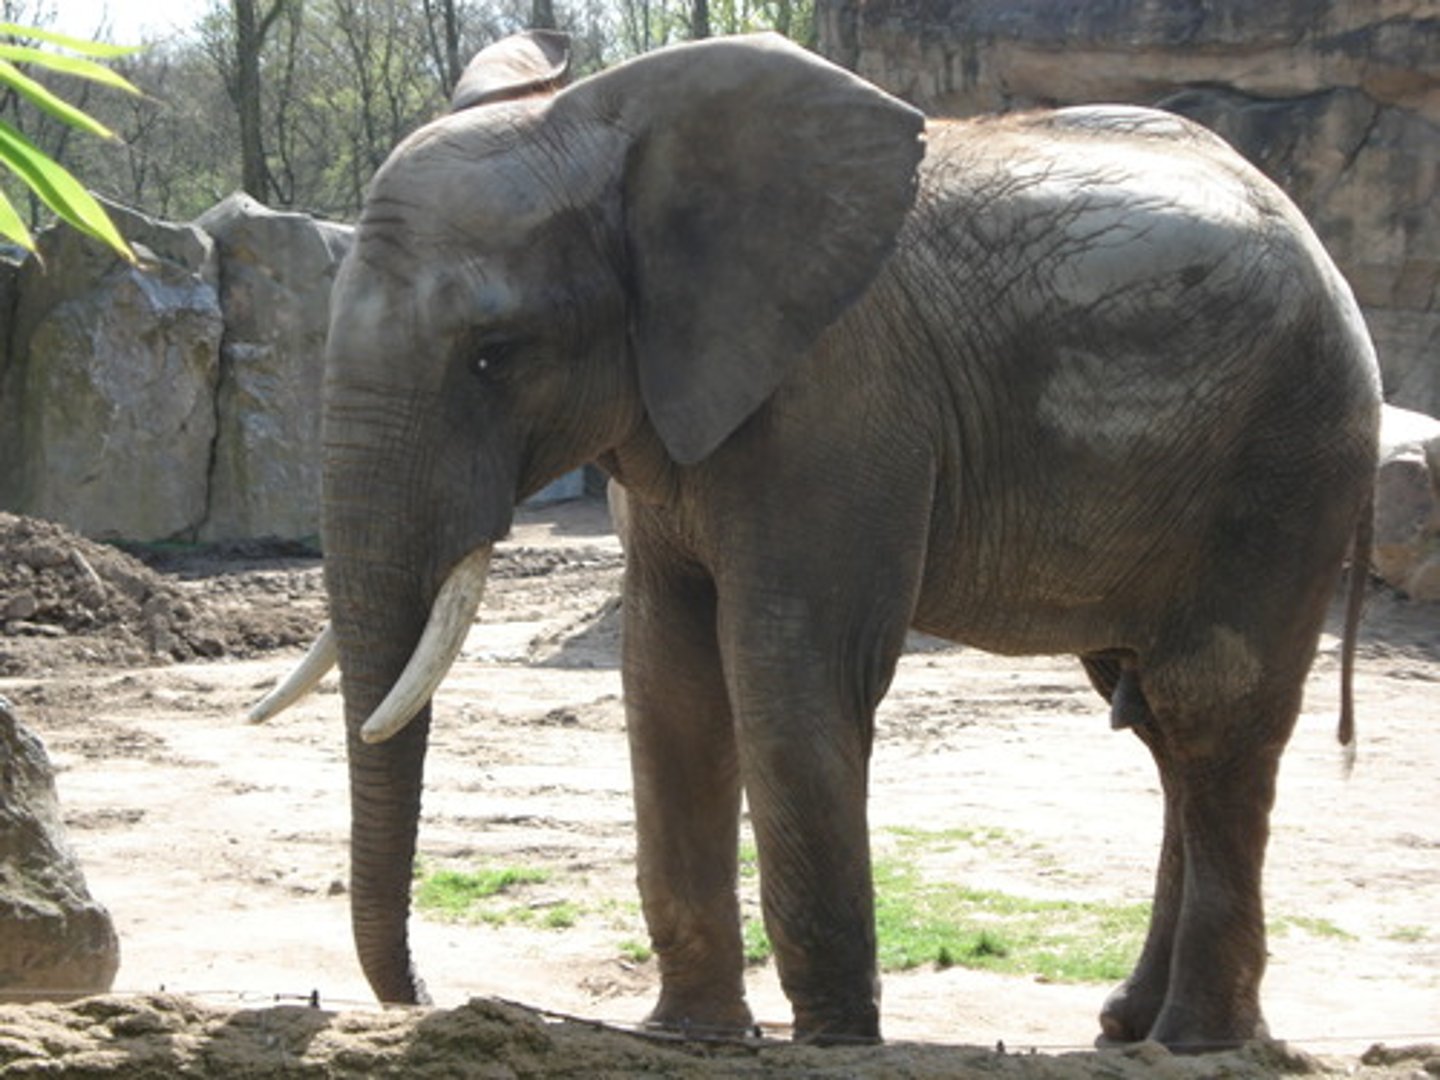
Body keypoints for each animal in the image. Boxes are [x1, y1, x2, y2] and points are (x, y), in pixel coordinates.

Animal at [252, 30, 1381, 1050]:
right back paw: (1129, 1024)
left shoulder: (840, 397)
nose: (422, 998)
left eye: (493, 353)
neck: (616, 127)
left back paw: (1195, 1042)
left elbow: (792, 665)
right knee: (1159, 727)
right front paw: (694, 1035)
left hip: (1286, 458)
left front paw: (835, 1040)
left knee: (1210, 710)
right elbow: (667, 676)